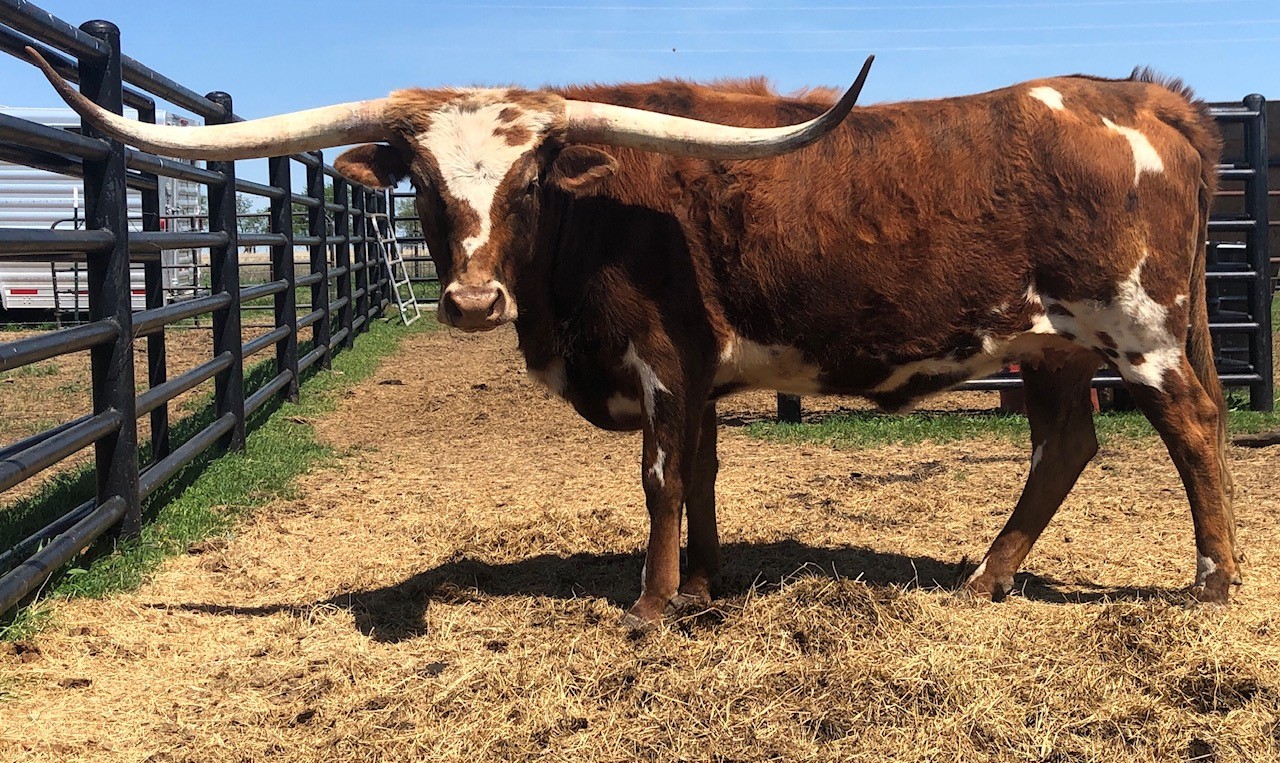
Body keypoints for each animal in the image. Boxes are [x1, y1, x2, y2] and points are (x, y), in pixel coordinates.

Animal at [30, 48, 1241, 630]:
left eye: (528, 179)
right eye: (419, 179)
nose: (471, 302)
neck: (597, 217)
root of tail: (1143, 101)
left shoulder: (661, 360)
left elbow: (660, 478)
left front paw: (654, 607)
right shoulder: (697, 374)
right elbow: (700, 473)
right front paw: (704, 587)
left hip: (1139, 330)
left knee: (1190, 429)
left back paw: (1210, 582)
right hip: (1049, 344)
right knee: (1064, 446)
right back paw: (982, 579)